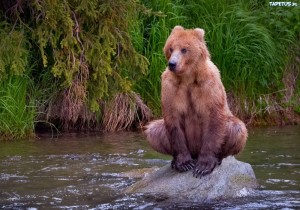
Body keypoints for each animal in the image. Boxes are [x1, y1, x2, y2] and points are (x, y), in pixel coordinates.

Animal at [144, 25, 247, 178]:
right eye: (171, 48)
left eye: (184, 49)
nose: (172, 64)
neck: (188, 77)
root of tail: (195, 153)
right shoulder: (171, 87)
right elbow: (173, 120)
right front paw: (184, 163)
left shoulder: (208, 85)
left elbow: (214, 117)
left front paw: (203, 166)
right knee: (153, 130)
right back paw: (174, 161)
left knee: (237, 128)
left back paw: (218, 158)